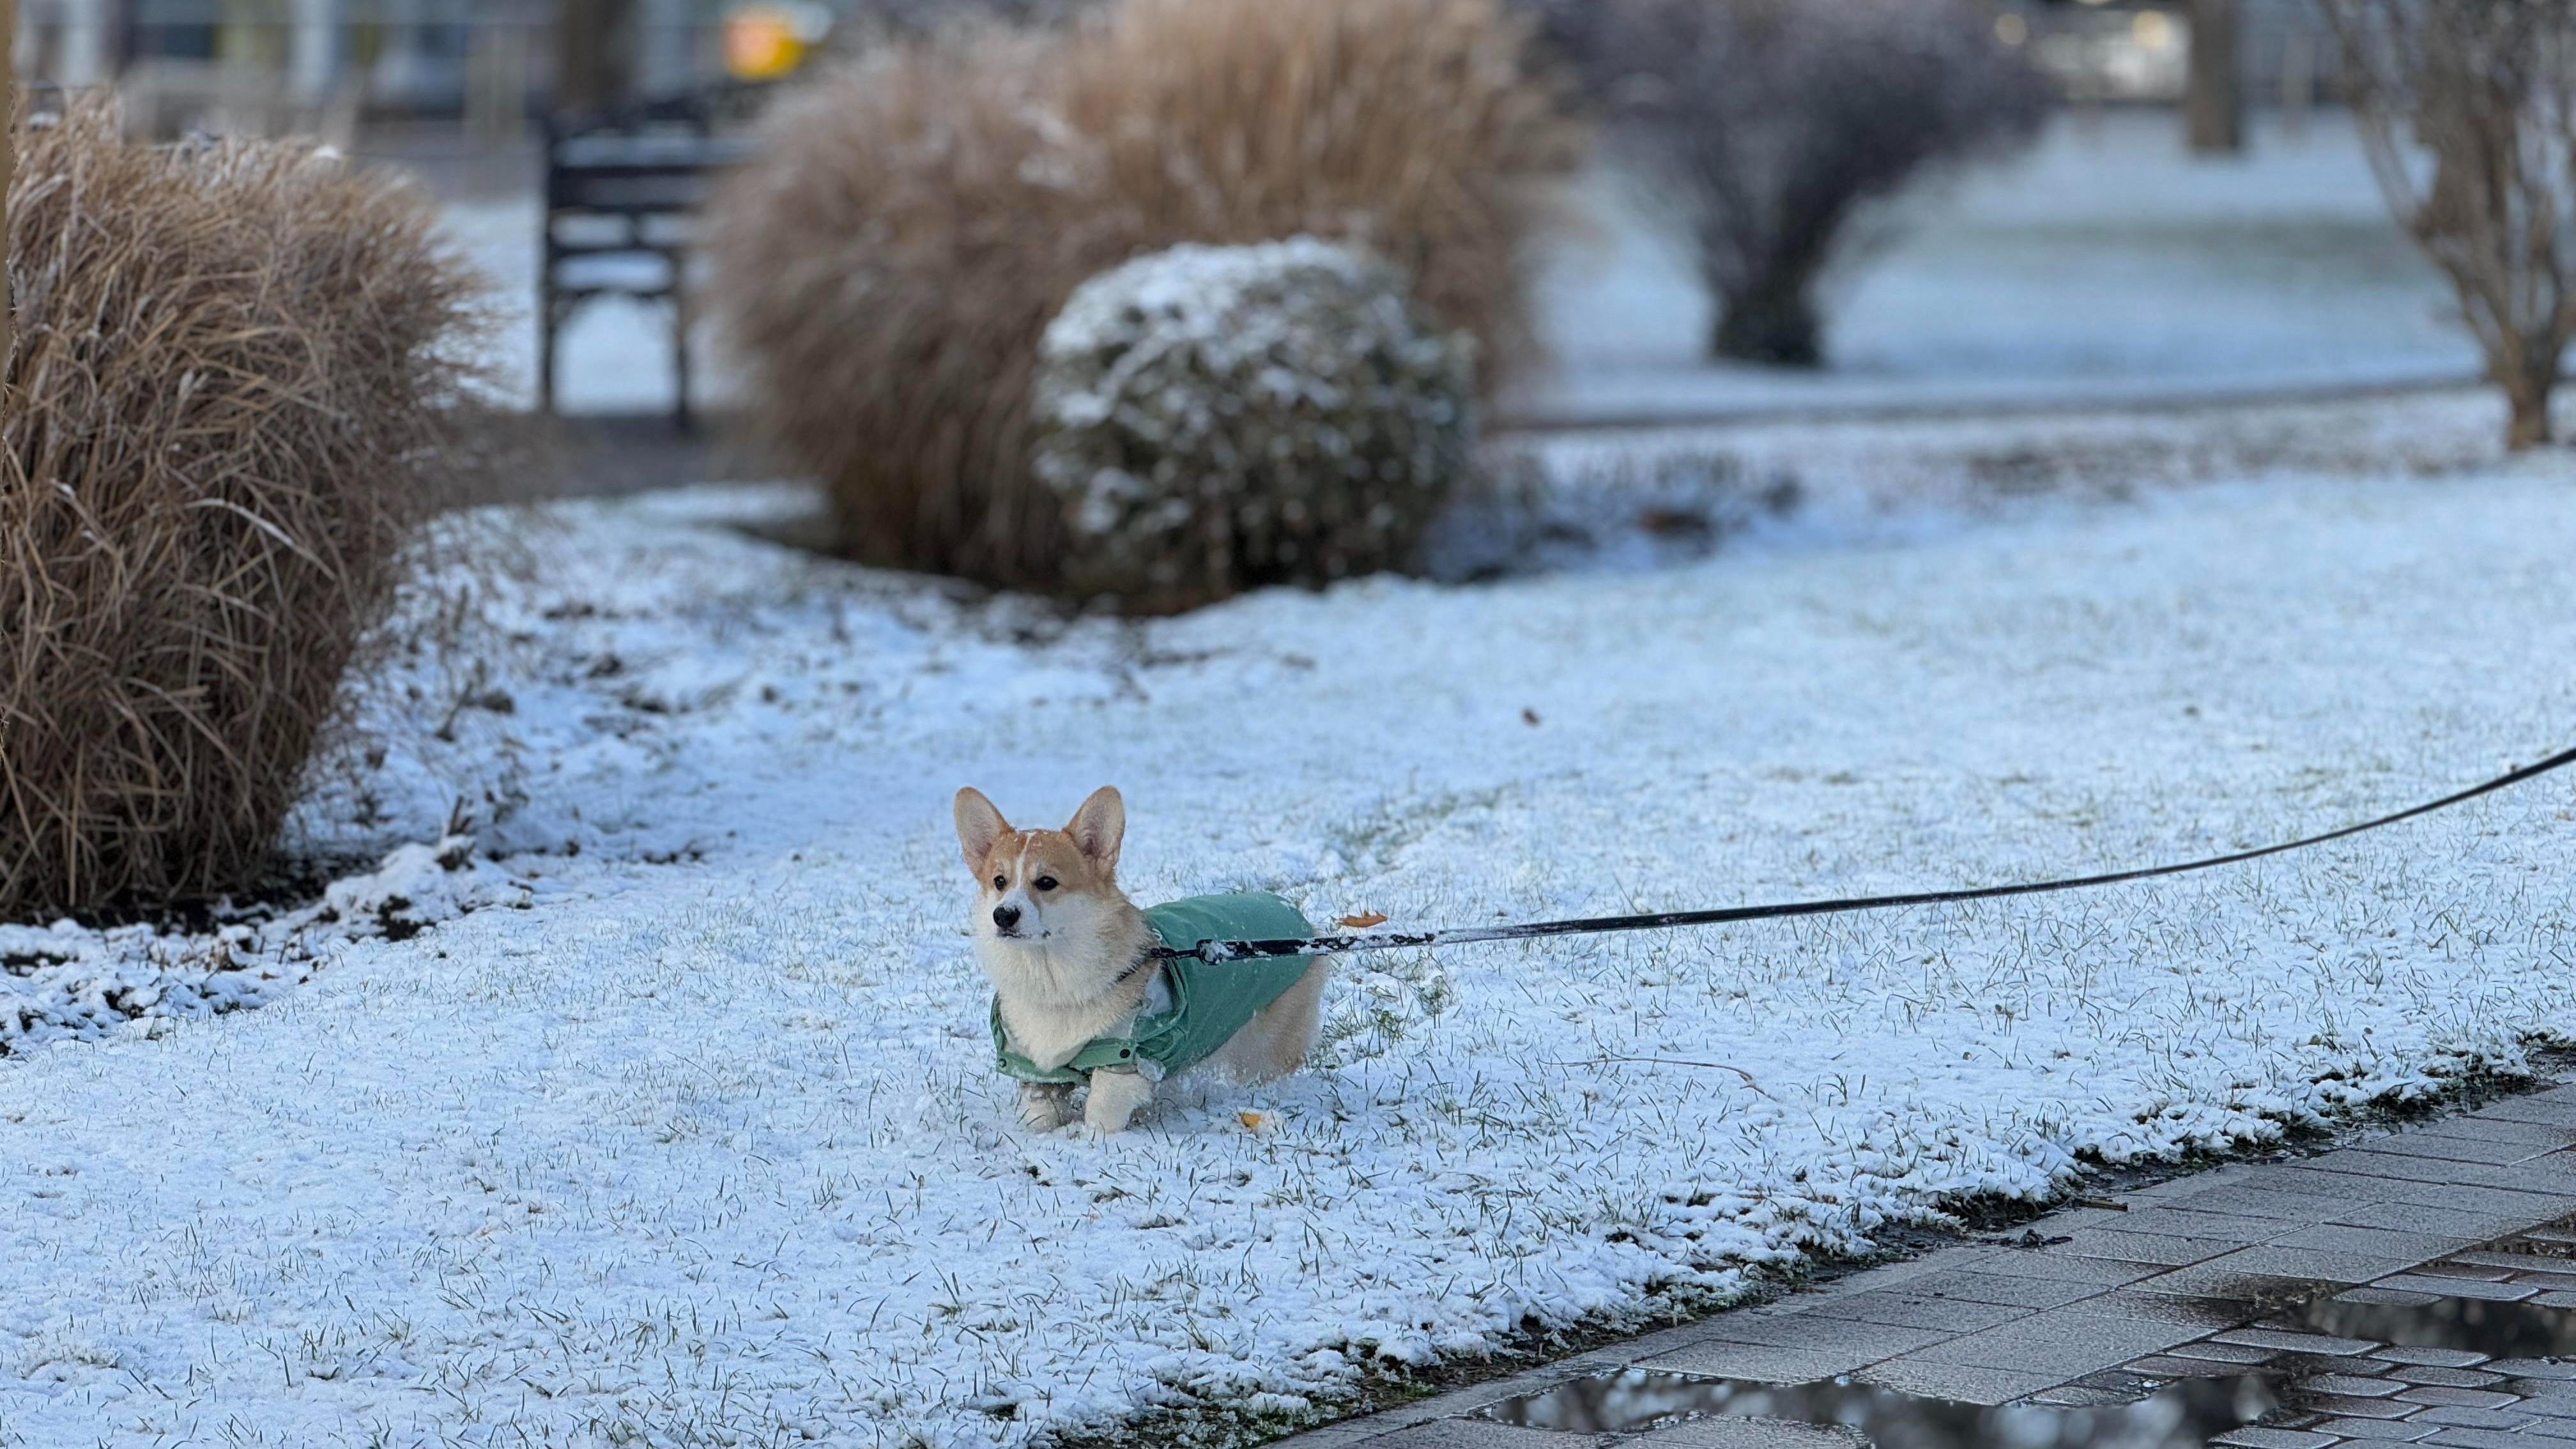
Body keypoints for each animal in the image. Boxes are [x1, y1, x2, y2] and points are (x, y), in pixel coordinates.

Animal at [963, 783, 1339, 1134]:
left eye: (1046, 882)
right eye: (999, 881)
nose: (1003, 916)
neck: (1052, 977)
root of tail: (1299, 921)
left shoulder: (1126, 1056)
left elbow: (1102, 1110)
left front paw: (1092, 1140)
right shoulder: (1033, 1065)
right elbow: (1040, 1111)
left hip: (1267, 1045)